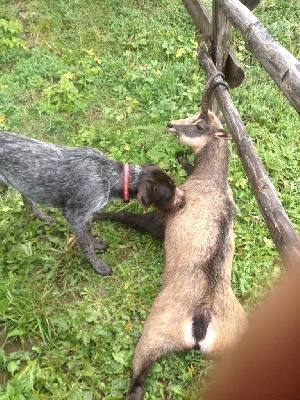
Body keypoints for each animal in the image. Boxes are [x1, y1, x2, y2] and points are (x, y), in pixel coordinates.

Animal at [0, 131, 185, 276]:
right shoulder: (74, 215)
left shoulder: (85, 213)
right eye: (169, 194)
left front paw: (96, 243)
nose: (184, 201)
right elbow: (85, 245)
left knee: (27, 200)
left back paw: (44, 218)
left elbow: (88, 231)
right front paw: (97, 265)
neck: (108, 175)